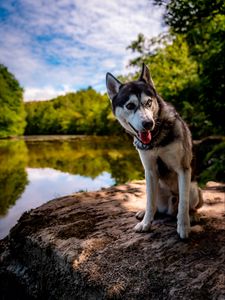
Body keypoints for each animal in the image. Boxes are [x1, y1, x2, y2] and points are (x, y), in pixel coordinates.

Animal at [105, 63, 202, 239]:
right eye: (130, 106)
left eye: (149, 102)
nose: (148, 123)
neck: (156, 139)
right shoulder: (149, 171)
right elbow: (150, 202)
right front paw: (146, 223)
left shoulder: (183, 169)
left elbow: (183, 204)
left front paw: (184, 226)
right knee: (155, 204)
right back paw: (145, 213)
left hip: (195, 190)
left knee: (187, 204)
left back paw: (193, 214)